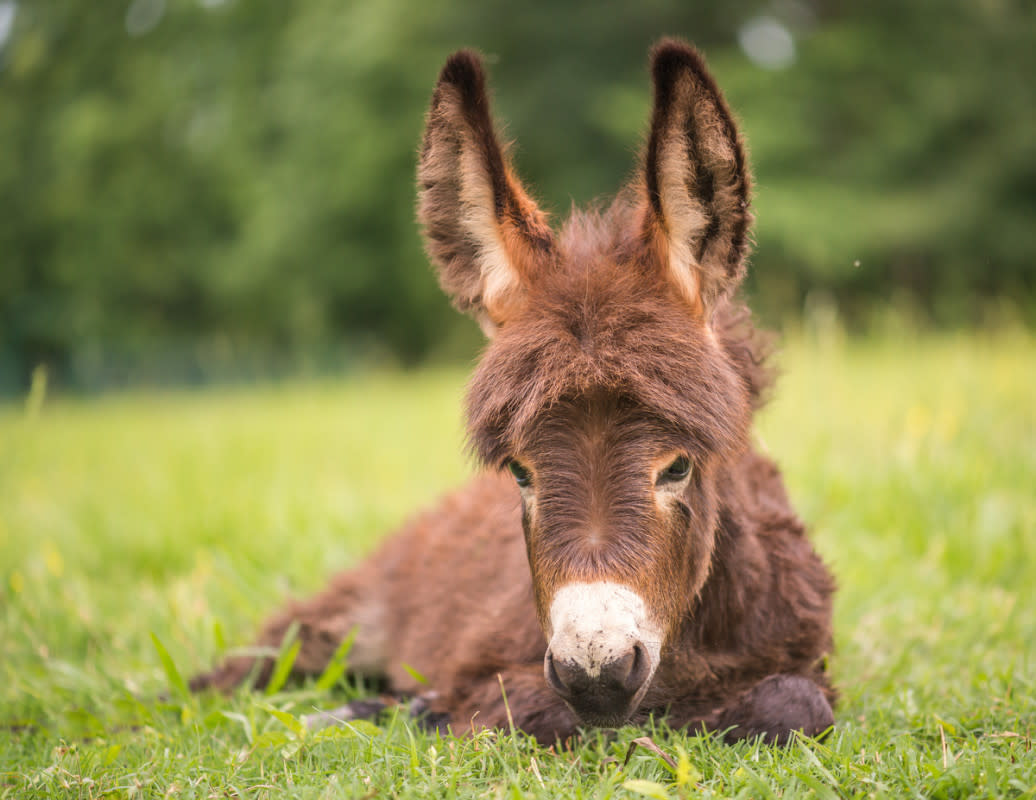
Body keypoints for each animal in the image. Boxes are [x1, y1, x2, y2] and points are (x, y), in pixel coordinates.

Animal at [190, 40, 837, 746]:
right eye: (520, 472)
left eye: (678, 466)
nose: (598, 676)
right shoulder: (495, 667)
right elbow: (526, 707)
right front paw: (422, 710)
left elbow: (796, 704)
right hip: (329, 624)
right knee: (227, 677)